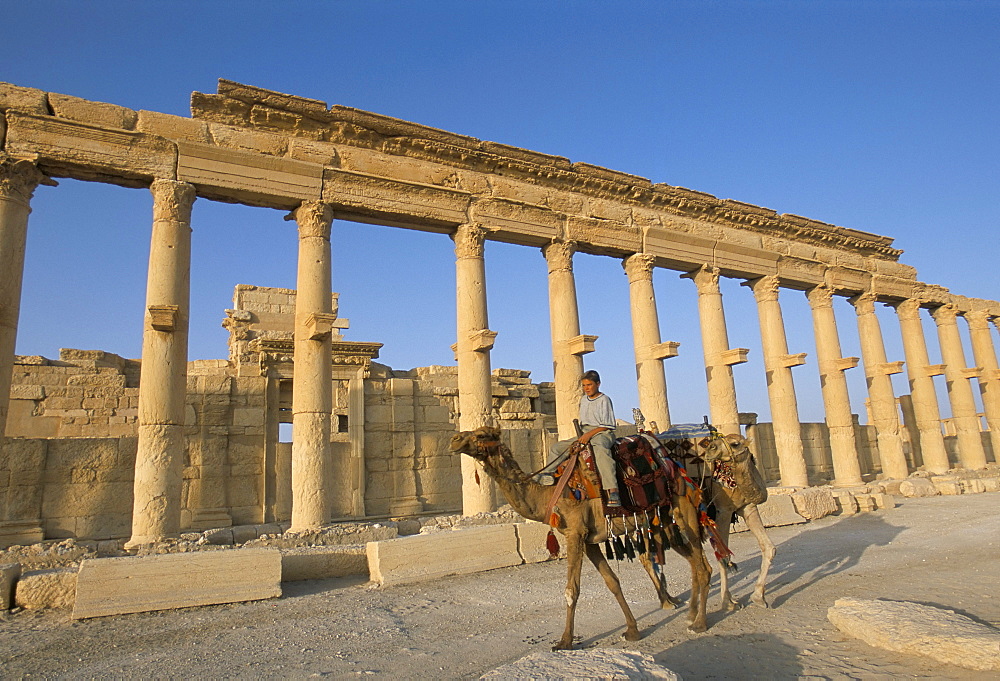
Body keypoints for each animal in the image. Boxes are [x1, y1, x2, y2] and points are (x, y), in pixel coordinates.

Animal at [696, 430, 772, 604]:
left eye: (735, 444)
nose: (710, 448)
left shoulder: (748, 507)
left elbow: (768, 547)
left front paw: (758, 596)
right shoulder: (723, 511)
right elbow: (723, 555)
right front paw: (728, 601)